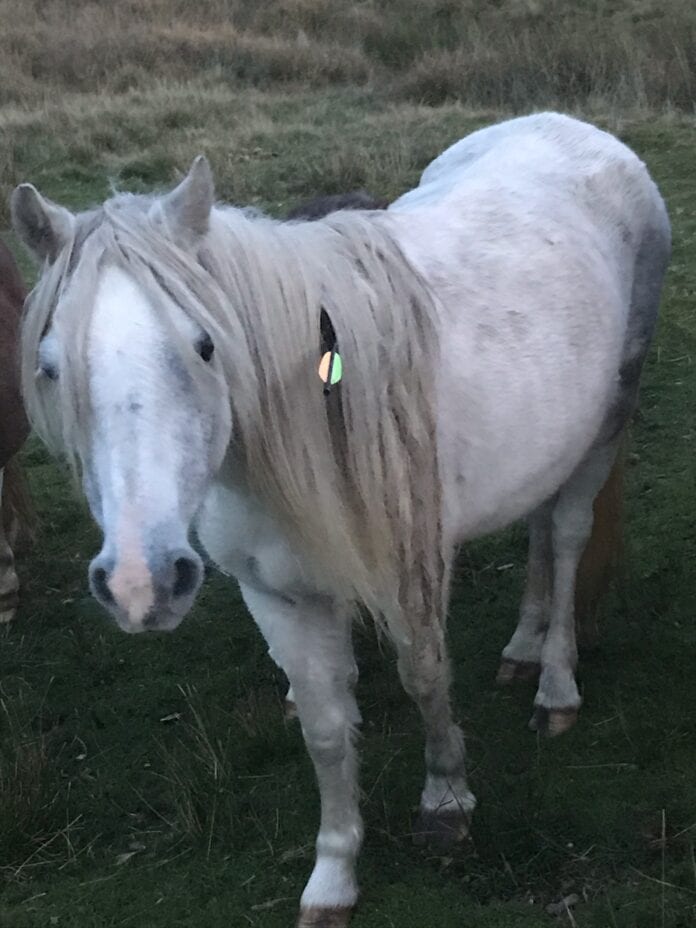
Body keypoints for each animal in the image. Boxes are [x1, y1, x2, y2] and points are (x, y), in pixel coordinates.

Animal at [12, 112, 670, 927]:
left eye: (206, 346)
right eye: (50, 367)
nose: (142, 585)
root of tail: (572, 127)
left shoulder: (411, 567)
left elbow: (425, 677)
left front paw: (446, 798)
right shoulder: (276, 594)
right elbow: (327, 731)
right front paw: (334, 873)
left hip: (605, 426)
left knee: (570, 535)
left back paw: (554, 685)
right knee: (542, 534)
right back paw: (522, 647)